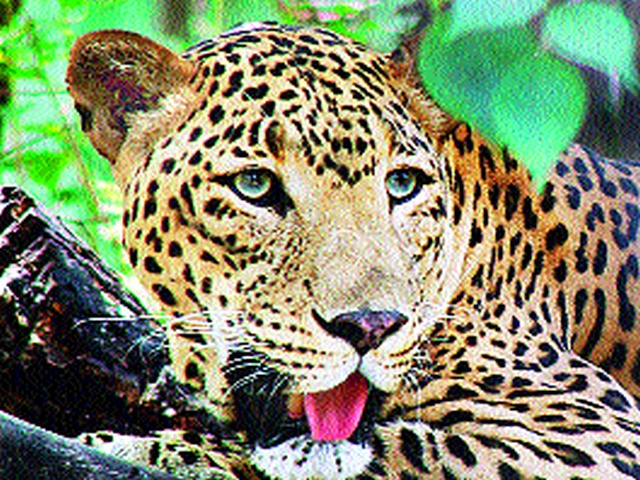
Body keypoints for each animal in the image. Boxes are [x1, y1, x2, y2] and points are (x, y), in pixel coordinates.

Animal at [66, 22, 640, 479]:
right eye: (254, 185)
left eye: (402, 184)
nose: (370, 326)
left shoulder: (599, 435)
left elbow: (416, 450)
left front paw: (142, 449)